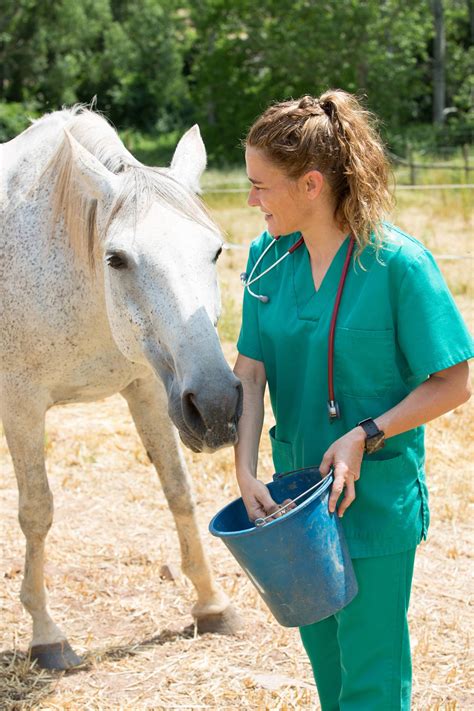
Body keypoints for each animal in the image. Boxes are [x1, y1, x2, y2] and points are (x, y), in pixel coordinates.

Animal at [0, 105, 243, 668]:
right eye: (116, 258)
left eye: (216, 250)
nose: (218, 406)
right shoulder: (21, 407)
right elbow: (36, 511)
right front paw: (46, 634)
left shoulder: (152, 388)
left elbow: (178, 490)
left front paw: (212, 604)